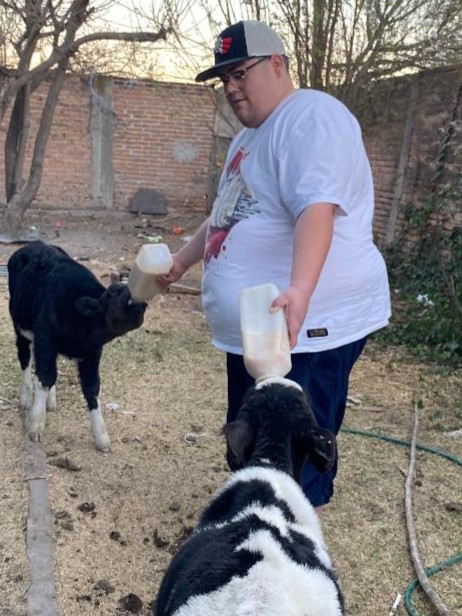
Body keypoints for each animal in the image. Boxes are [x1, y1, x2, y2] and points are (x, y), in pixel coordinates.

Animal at [8, 242, 147, 452]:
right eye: (111, 294)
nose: (135, 295)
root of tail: (34, 244)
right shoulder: (45, 338)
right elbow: (45, 377)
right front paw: (36, 425)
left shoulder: (92, 354)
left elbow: (92, 388)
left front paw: (101, 437)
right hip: (21, 328)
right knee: (25, 358)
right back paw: (25, 398)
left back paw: (50, 400)